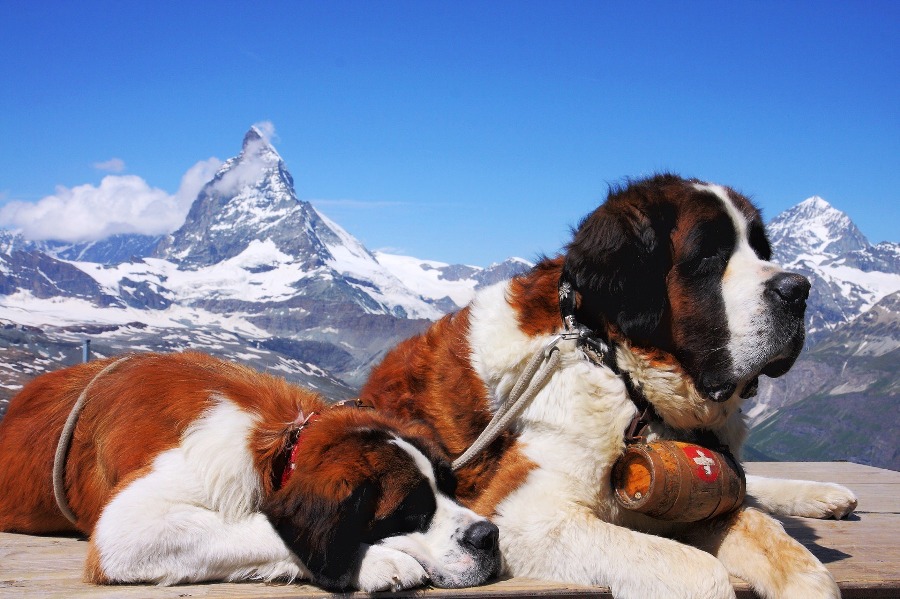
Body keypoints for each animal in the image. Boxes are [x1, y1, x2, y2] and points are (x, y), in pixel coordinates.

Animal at [0, 352, 500, 592]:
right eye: (410, 512)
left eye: (450, 487)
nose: (488, 536)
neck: (282, 443)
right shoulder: (129, 526)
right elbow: (264, 528)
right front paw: (376, 559)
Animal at [358, 175, 856, 599]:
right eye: (709, 256)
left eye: (761, 249)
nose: (799, 289)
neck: (617, 368)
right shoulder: (522, 516)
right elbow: (701, 570)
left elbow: (776, 541)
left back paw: (823, 495)